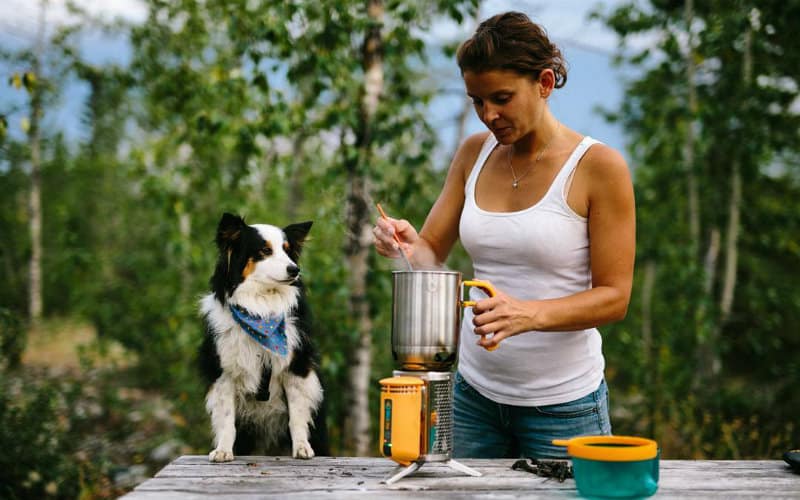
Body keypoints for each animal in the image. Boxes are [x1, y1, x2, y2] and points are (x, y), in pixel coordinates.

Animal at [198, 213, 326, 462]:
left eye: (287, 250)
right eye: (265, 250)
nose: (294, 269)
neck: (261, 309)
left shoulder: (296, 367)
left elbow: (297, 413)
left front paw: (301, 447)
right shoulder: (224, 371)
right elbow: (227, 418)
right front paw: (223, 450)